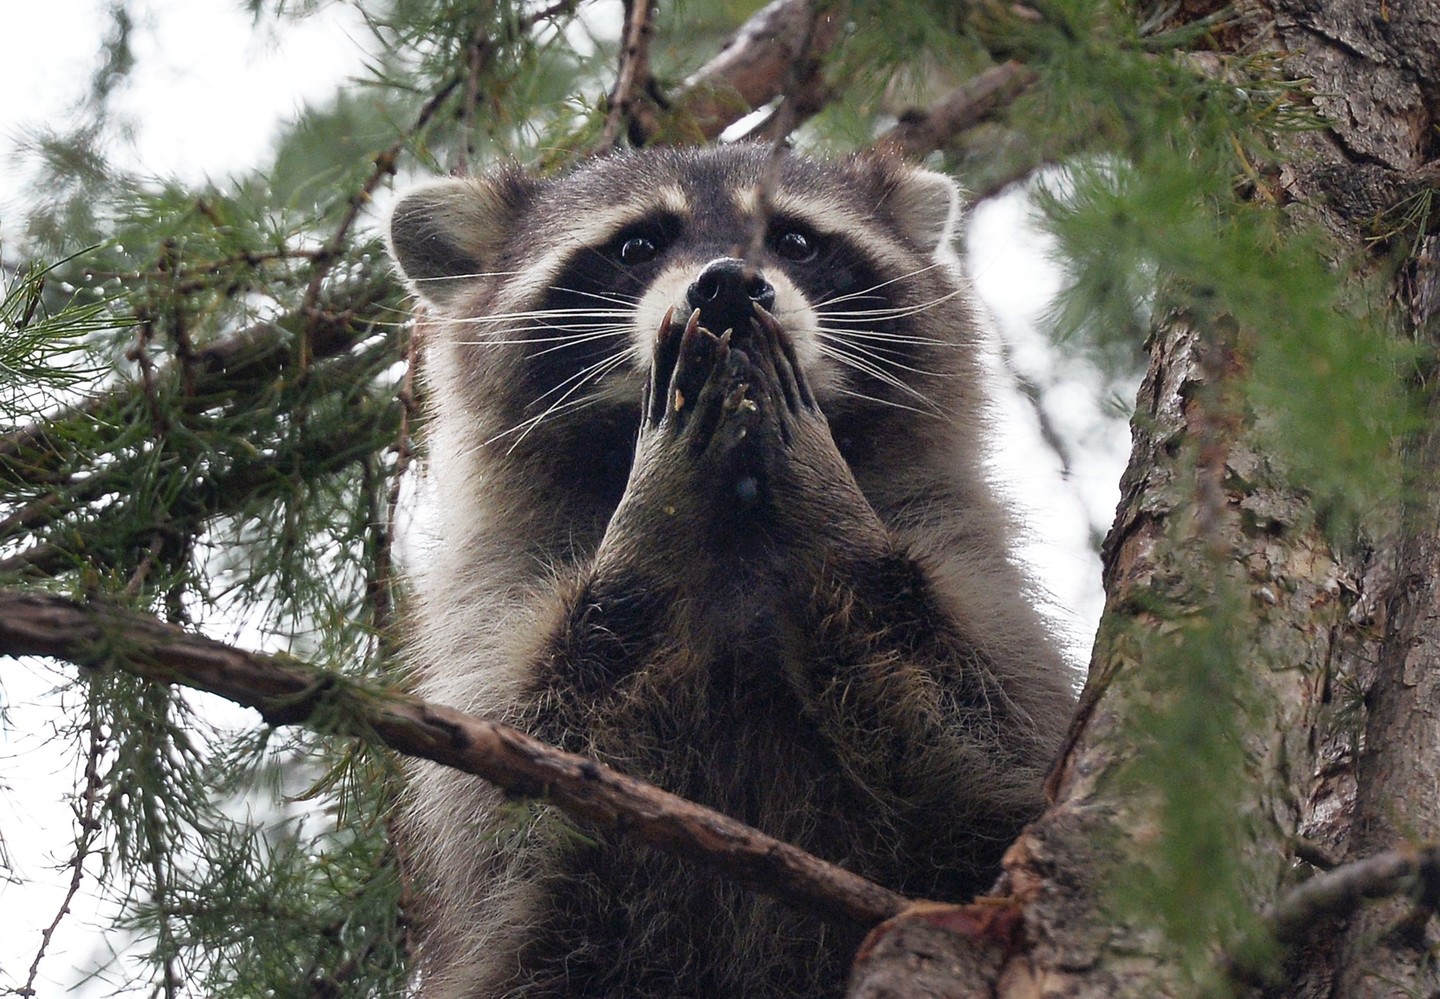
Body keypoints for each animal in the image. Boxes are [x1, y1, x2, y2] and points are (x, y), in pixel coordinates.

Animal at [388, 142, 1077, 999]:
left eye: (796, 241)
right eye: (638, 245)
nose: (728, 284)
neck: (739, 516)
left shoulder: (962, 545)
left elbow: (990, 748)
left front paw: (833, 512)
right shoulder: (492, 598)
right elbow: (521, 802)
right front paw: (651, 522)